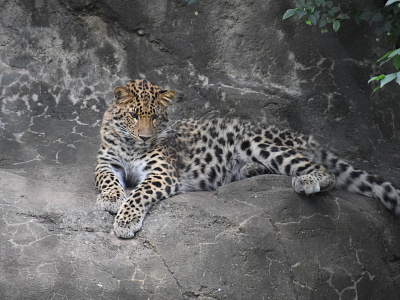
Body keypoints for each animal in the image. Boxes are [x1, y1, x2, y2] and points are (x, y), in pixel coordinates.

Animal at [95, 79, 400, 239]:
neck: (132, 145)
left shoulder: (162, 174)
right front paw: (112, 198)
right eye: (134, 115)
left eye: (156, 117)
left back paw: (306, 180)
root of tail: (308, 139)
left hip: (255, 141)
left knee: (325, 171)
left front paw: (125, 221)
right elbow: (107, 178)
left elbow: (140, 193)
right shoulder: (106, 162)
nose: (146, 137)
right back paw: (250, 170)